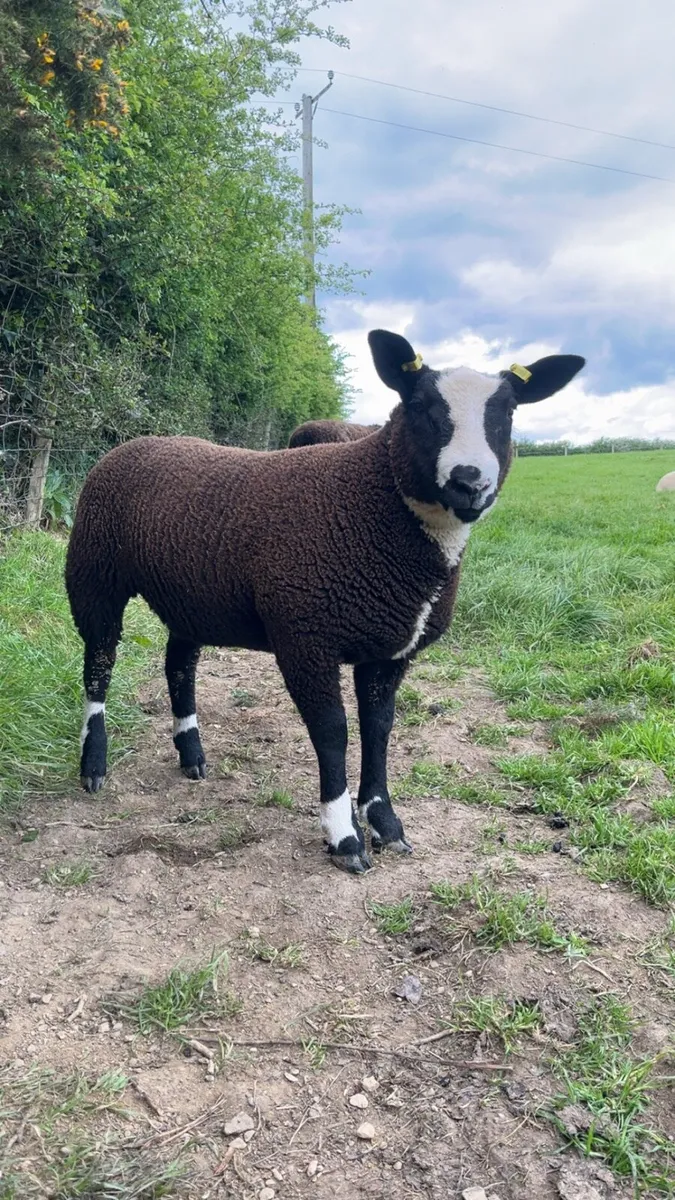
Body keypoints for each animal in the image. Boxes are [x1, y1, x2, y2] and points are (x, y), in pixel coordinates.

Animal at [65, 329, 584, 874]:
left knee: (178, 664)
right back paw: (94, 764)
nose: (470, 481)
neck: (371, 502)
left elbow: (379, 729)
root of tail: (135, 443)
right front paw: (344, 836)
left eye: (508, 412)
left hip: (190, 595)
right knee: (98, 663)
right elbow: (333, 732)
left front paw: (385, 822)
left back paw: (192, 756)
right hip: (94, 573)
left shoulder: (389, 650)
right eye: (419, 405)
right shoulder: (306, 635)